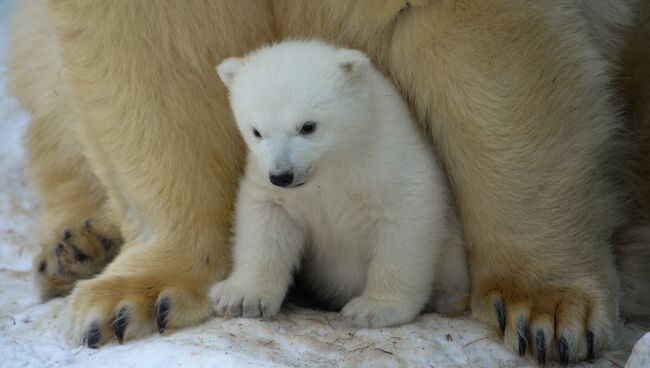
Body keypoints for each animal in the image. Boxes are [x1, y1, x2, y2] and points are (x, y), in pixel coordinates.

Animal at [6, 0, 648, 362]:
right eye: (256, 129)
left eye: (311, 125)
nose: (284, 173)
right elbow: (147, 49)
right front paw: (130, 303)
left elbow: (489, 53)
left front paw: (545, 312)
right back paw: (77, 250)